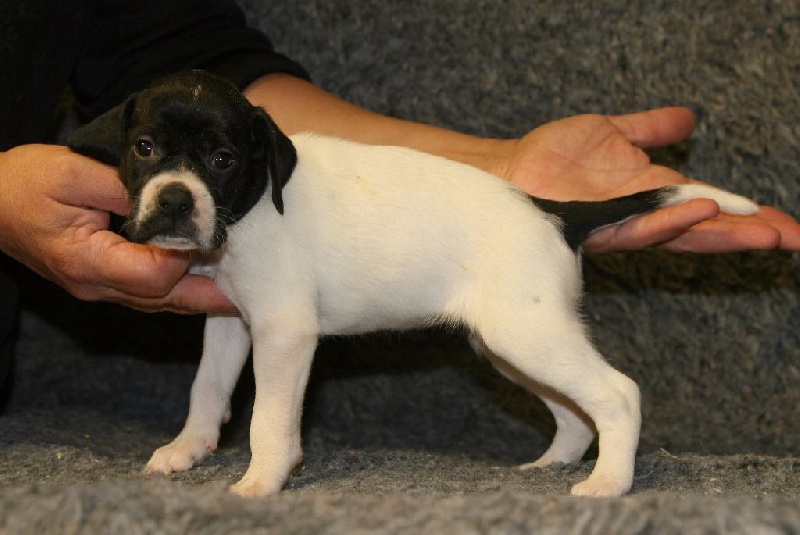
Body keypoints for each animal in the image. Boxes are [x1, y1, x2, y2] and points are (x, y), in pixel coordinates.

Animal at [67, 70, 759, 497]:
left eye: (221, 159)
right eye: (145, 148)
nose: (176, 201)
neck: (257, 202)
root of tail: (551, 211)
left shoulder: (285, 335)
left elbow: (269, 418)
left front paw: (263, 481)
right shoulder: (230, 324)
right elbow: (206, 392)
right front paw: (188, 450)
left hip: (527, 336)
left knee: (616, 395)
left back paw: (609, 484)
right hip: (512, 343)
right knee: (573, 411)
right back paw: (551, 464)